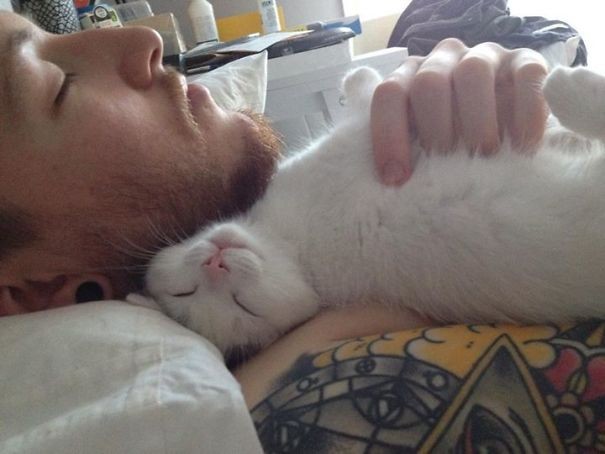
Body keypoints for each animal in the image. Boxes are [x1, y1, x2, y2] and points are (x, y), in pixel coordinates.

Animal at [134, 64, 604, 354]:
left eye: (182, 291)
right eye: (242, 306)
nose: (215, 264)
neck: (296, 249)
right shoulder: (349, 145)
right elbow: (366, 96)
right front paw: (362, 78)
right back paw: (569, 86)